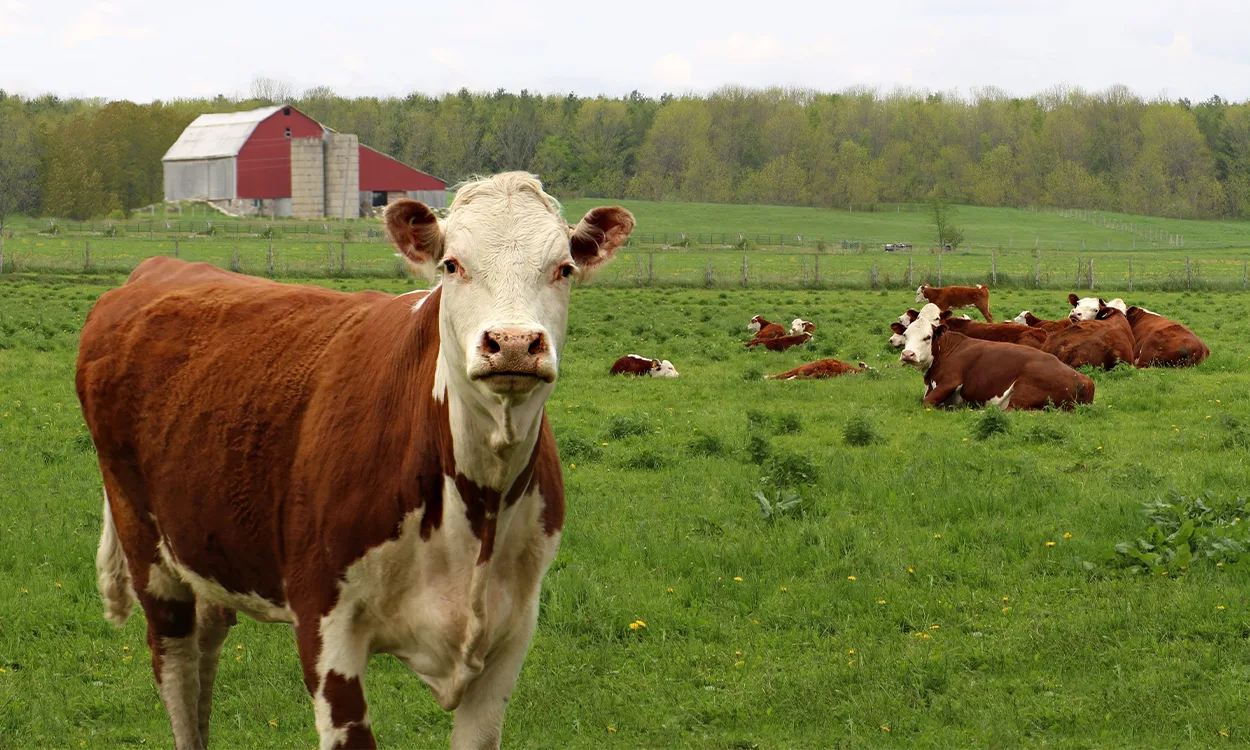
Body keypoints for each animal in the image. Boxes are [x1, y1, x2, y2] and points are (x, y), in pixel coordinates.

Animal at [75, 172, 634, 750]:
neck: (480, 504)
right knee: (177, 670)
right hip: (146, 547)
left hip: (206, 543)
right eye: (451, 265)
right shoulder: (325, 622)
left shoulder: (512, 633)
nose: (516, 342)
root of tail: (157, 268)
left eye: (564, 268)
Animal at [898, 304, 1094, 410]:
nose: (908, 354)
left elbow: (926, 402)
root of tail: (1084, 381)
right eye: (906, 334)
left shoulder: (951, 381)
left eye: (927, 337)